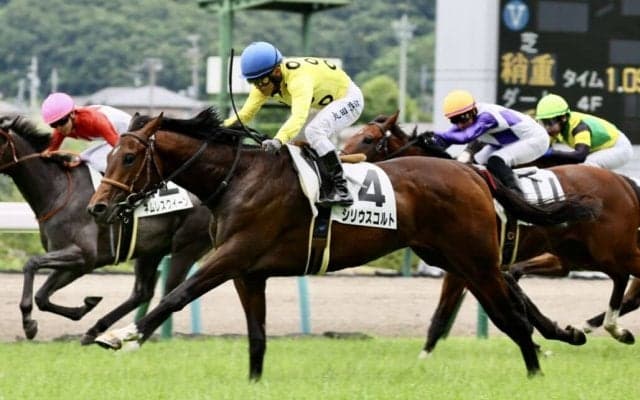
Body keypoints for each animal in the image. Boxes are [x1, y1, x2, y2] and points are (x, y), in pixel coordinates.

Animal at [0, 115, 214, 344]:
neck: (59, 191)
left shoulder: (83, 255)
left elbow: (31, 264)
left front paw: (28, 322)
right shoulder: (77, 263)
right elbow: (42, 296)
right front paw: (85, 305)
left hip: (186, 246)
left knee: (170, 292)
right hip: (152, 250)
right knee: (142, 293)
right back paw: (98, 330)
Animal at [87, 108, 600, 379]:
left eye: (128, 157)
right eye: (108, 155)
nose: (98, 207)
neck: (237, 179)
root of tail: (474, 174)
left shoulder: (232, 255)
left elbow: (176, 294)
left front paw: (120, 335)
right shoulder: (249, 272)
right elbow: (257, 338)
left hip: (473, 260)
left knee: (510, 316)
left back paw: (538, 369)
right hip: (450, 256)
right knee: (513, 303)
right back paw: (561, 337)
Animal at [341, 111, 640, 353]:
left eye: (367, 139)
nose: (342, 159)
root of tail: (623, 181)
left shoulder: (468, 263)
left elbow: (442, 317)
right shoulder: (474, 265)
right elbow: (513, 297)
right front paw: (553, 336)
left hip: (609, 250)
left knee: (625, 278)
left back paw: (610, 327)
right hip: (582, 254)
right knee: (621, 278)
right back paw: (608, 328)